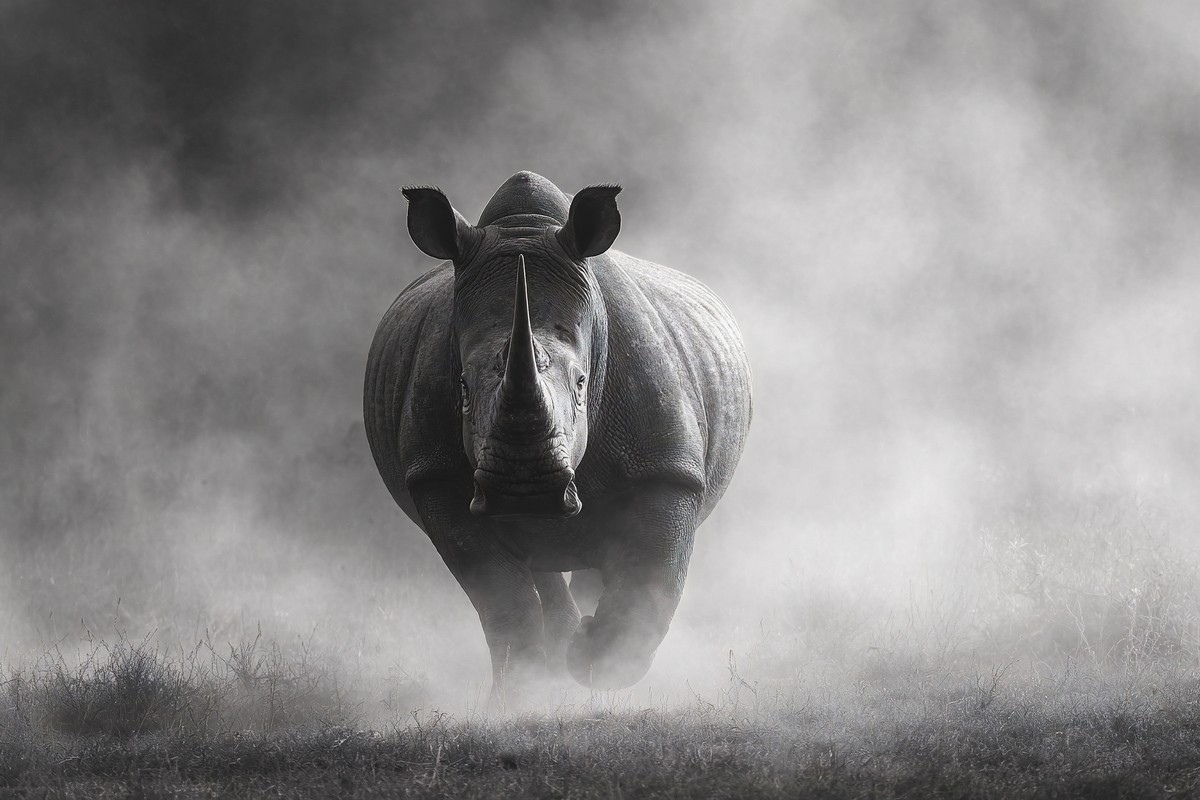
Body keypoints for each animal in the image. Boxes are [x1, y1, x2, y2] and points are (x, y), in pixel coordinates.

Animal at [364, 171, 751, 693]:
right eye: (461, 387)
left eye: (583, 384)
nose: (524, 490)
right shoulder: (436, 477)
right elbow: (502, 600)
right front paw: (520, 691)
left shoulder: (667, 470)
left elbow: (653, 584)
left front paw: (593, 663)